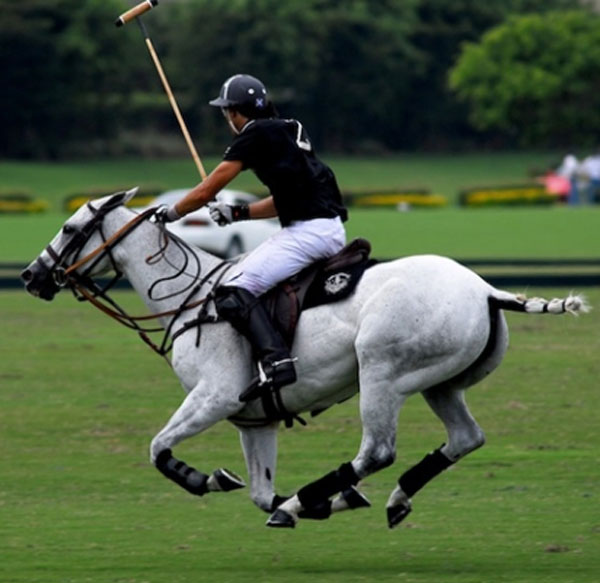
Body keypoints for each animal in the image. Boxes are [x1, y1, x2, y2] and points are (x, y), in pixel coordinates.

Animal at [19, 192, 592, 528]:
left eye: (69, 229)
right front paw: (322, 502)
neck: (188, 296)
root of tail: (487, 289)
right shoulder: (253, 418)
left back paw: (323, 498)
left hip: (382, 370)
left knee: (377, 450)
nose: (30, 276)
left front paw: (212, 480)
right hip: (441, 381)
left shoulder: (215, 395)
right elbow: (258, 491)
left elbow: (159, 449)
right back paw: (389, 499)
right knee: (466, 438)